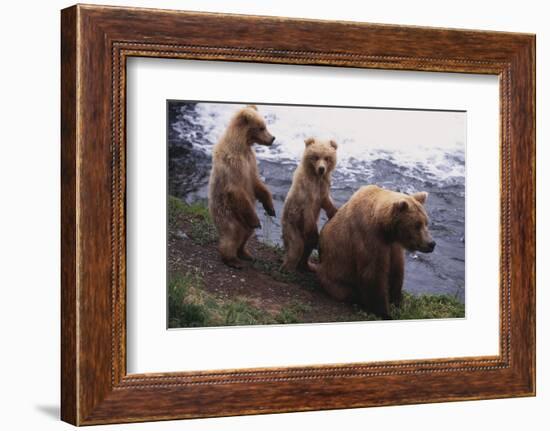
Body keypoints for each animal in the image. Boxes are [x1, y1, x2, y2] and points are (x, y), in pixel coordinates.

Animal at [208, 106, 276, 268]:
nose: (272, 138)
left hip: (242, 221)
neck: (242, 145)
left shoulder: (250, 162)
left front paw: (270, 208)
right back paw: (232, 259)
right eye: (261, 127)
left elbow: (257, 183)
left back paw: (245, 253)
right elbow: (236, 190)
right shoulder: (233, 166)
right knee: (232, 236)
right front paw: (257, 221)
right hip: (228, 216)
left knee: (246, 234)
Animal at [282, 138, 338, 272]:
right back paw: (287, 267)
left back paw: (308, 265)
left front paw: (334, 211)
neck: (316, 178)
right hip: (292, 225)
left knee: (307, 247)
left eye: (327, 158)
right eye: (316, 157)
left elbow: (326, 201)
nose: (322, 169)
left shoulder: (323, 188)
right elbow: (308, 213)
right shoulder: (305, 194)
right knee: (296, 247)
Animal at [316, 186, 438, 320]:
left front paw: (398, 303)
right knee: (346, 290)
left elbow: (397, 271)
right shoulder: (369, 238)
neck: (384, 229)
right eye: (417, 225)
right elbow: (373, 274)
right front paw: (384, 312)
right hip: (336, 277)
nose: (431, 243)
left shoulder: (393, 246)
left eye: (426, 222)